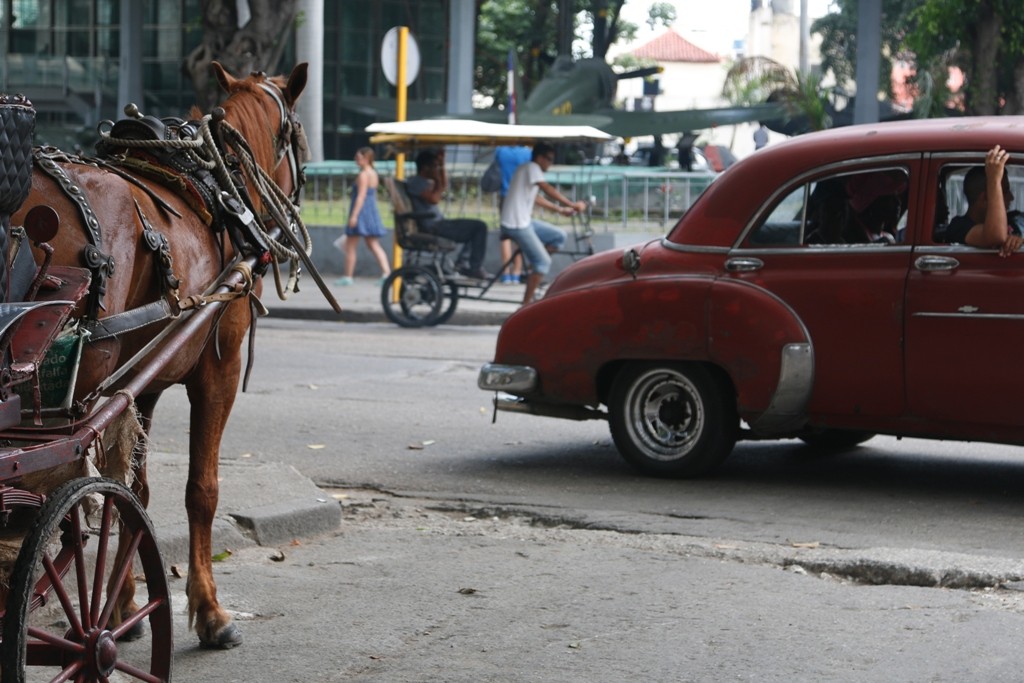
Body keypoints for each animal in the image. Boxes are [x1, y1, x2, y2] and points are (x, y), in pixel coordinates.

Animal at [12, 61, 309, 651]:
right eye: (298, 138)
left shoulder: (140, 386)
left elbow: (133, 491)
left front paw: (124, 599)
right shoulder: (219, 367)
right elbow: (199, 490)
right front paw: (209, 612)